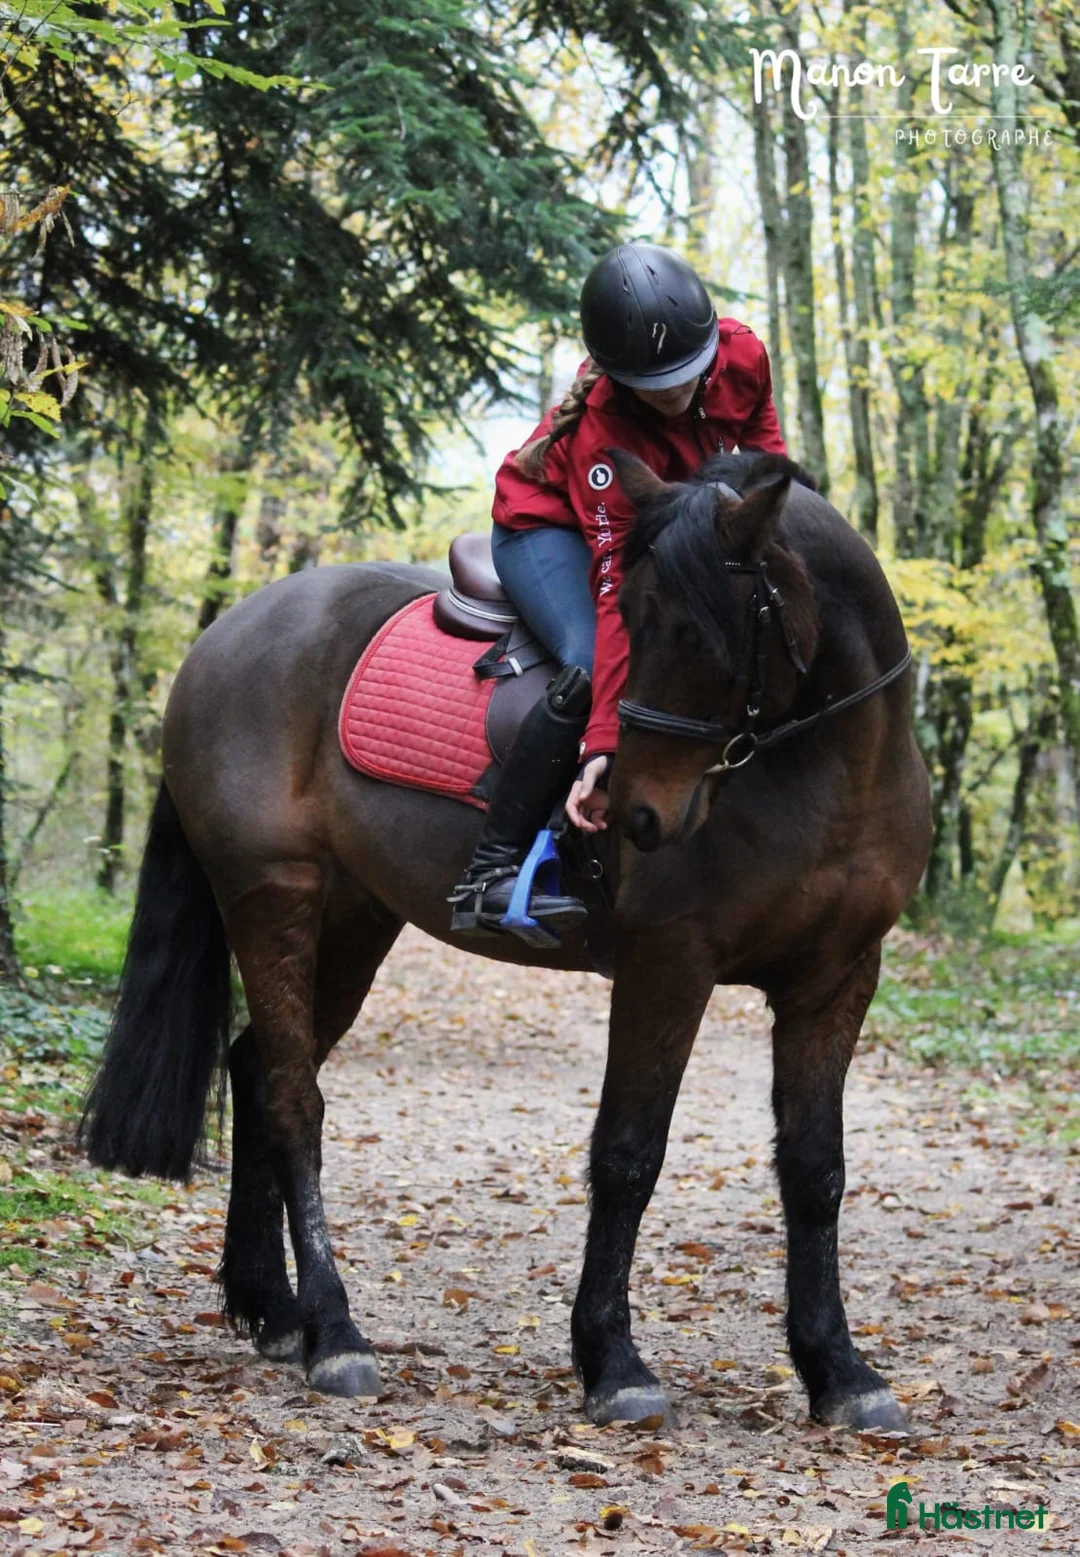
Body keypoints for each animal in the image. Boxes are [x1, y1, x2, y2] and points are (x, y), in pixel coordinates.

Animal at [80, 450, 932, 1432]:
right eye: (626, 622)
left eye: (700, 630)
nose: (633, 813)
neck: (829, 767)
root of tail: (222, 638)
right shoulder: (668, 965)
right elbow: (629, 1151)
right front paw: (614, 1360)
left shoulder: (837, 978)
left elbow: (815, 1167)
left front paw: (840, 1368)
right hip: (272, 895)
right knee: (294, 1100)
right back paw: (334, 1333)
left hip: (354, 919)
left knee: (259, 1070)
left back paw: (275, 1309)